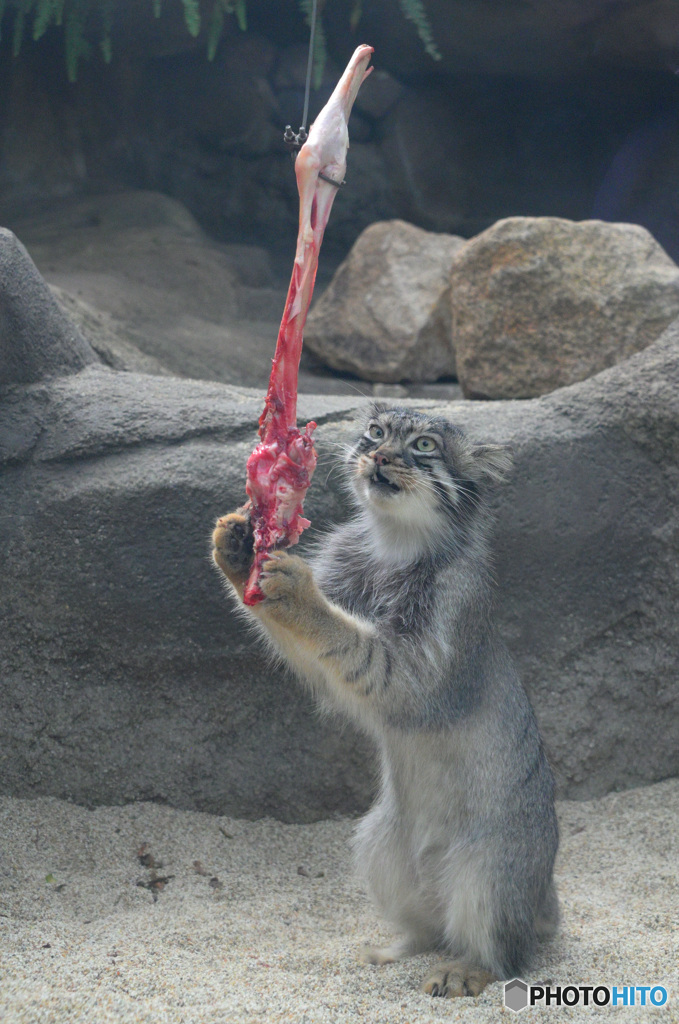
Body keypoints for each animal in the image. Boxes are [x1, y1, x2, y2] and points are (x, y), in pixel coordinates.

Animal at [213, 405, 557, 999]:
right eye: (376, 432)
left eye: (423, 445)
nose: (380, 455)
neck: (396, 543)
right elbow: (317, 655)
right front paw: (240, 550)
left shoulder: (428, 658)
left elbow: (353, 643)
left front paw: (300, 592)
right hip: (379, 845)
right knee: (432, 928)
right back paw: (397, 949)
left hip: (492, 873)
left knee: (506, 951)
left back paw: (469, 968)